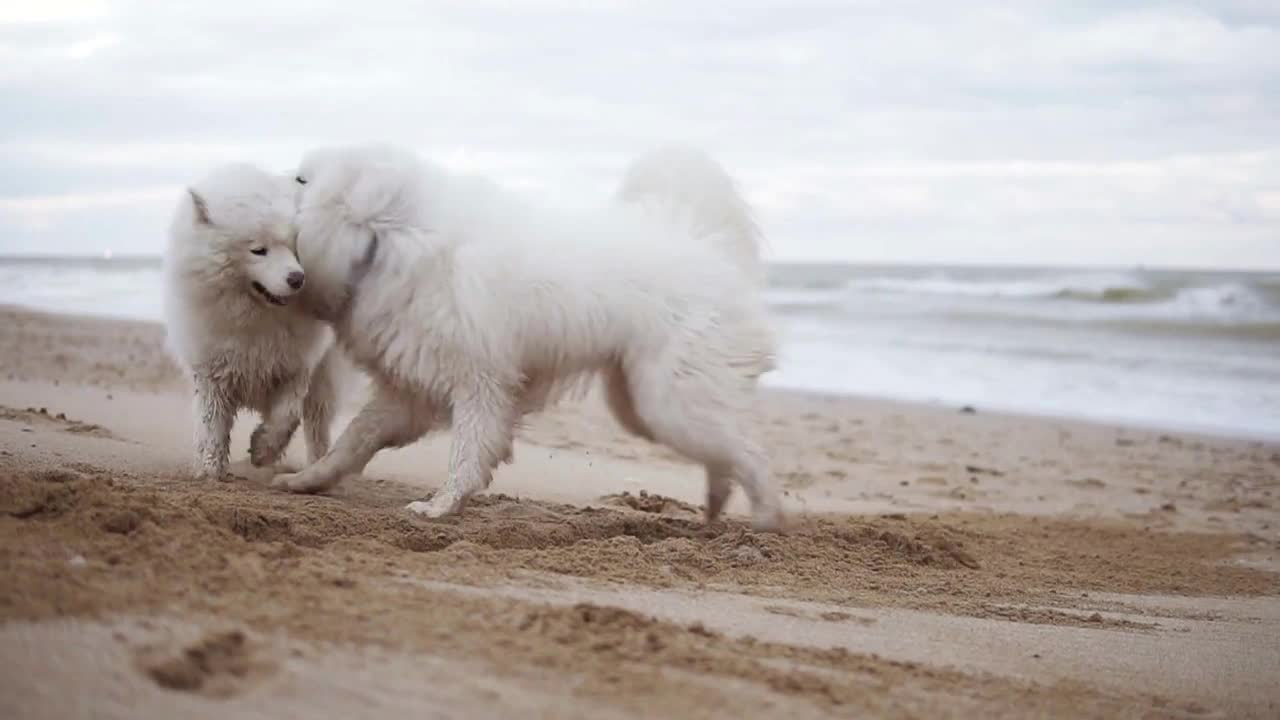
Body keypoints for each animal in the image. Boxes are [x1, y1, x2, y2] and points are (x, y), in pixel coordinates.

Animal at [162, 162, 337, 476]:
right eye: (258, 250)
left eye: (295, 246)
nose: (298, 278)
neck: (255, 317)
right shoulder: (211, 373)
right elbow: (212, 425)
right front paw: (210, 470)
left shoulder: (296, 368)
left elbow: (287, 416)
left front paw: (263, 449)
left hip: (324, 379)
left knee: (317, 426)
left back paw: (316, 467)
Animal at [275, 144, 783, 527]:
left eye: (300, 180)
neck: (391, 237)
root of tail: (709, 249)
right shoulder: (411, 391)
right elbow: (352, 440)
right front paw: (308, 480)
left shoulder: (480, 385)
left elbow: (466, 453)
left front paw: (442, 506)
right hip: (640, 405)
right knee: (729, 451)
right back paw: (716, 508)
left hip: (669, 403)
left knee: (752, 453)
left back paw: (766, 519)